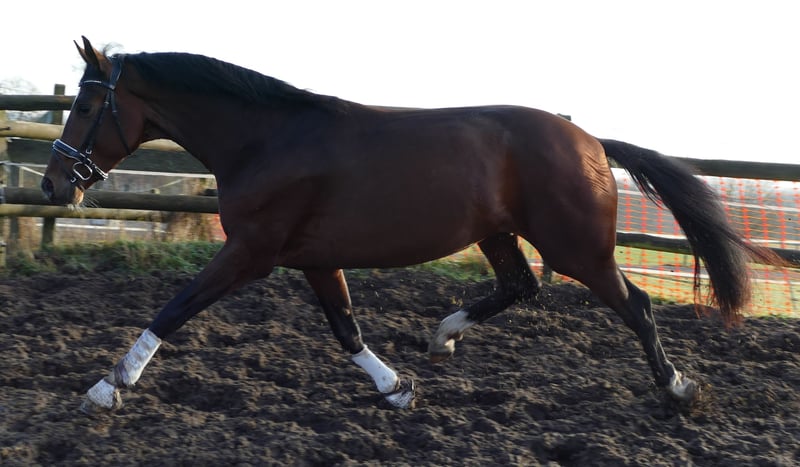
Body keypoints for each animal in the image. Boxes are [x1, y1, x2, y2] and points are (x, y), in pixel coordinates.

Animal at [42, 37, 781, 414]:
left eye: (86, 104)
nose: (53, 184)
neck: (267, 140)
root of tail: (592, 142)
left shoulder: (251, 251)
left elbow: (173, 309)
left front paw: (107, 387)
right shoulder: (314, 258)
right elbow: (345, 329)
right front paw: (396, 387)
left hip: (578, 247)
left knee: (637, 305)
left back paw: (678, 388)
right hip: (499, 234)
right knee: (521, 287)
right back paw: (442, 335)